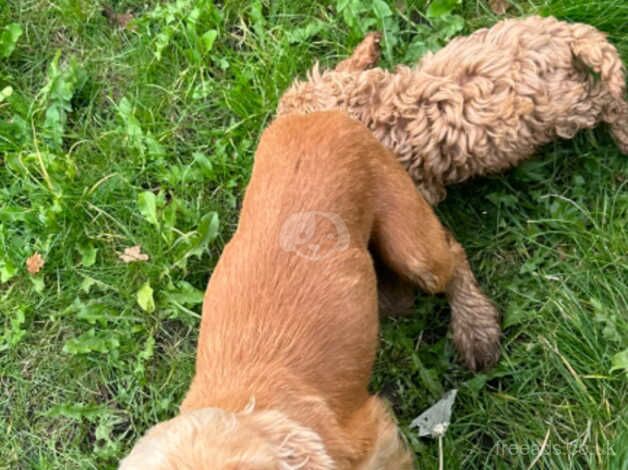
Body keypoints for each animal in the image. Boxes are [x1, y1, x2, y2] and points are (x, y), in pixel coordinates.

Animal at [120, 112, 498, 468]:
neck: (243, 403)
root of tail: (313, 114)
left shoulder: (373, 433)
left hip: (413, 243)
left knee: (453, 255)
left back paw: (477, 330)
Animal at [280, 16, 628, 204]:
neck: (374, 109)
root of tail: (562, 36)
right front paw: (368, 47)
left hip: (569, 106)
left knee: (606, 99)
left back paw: (622, 132)